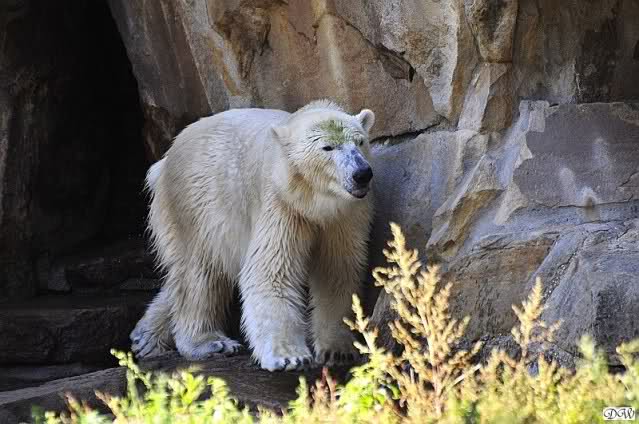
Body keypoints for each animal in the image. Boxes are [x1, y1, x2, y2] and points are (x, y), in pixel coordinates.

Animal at [130, 100, 375, 371]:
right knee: (198, 273)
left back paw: (145, 336)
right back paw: (208, 342)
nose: (362, 173)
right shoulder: (280, 204)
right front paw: (289, 357)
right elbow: (272, 271)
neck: (312, 201)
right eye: (327, 147)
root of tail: (162, 164)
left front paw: (338, 350)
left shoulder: (344, 216)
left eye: (360, 142)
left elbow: (336, 271)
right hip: (194, 205)